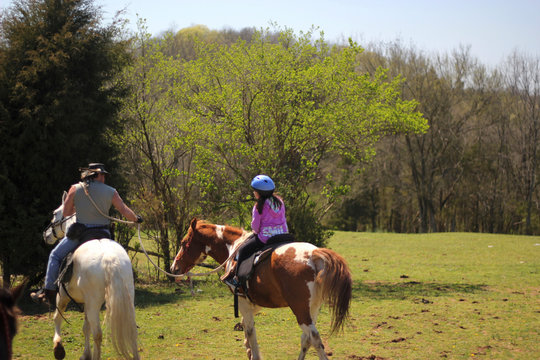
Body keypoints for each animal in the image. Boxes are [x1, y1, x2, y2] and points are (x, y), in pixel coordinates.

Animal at [43, 194, 139, 360]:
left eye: (55, 213)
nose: (46, 235)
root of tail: (109, 258)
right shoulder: (86, 303)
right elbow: (85, 327)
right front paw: (85, 354)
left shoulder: (63, 295)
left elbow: (58, 317)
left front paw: (58, 347)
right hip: (127, 296)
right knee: (131, 329)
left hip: (93, 302)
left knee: (97, 334)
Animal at [171, 218, 352, 358]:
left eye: (184, 243)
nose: (174, 269)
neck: (233, 248)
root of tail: (315, 254)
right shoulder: (254, 303)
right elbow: (245, 327)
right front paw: (248, 350)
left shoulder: (242, 301)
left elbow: (250, 331)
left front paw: (253, 353)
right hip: (312, 309)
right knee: (306, 339)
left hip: (300, 311)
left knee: (314, 338)